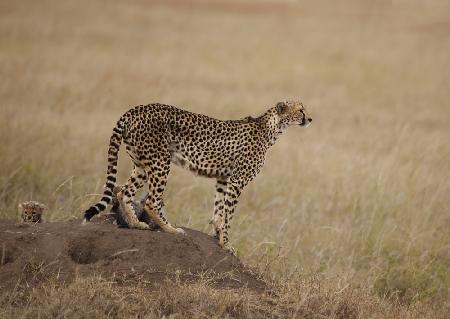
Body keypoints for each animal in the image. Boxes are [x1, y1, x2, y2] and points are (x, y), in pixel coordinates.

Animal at [82, 101, 312, 254]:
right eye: (300, 109)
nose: (309, 118)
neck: (271, 128)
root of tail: (135, 109)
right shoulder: (237, 181)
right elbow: (229, 215)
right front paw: (226, 243)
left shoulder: (223, 179)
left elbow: (219, 210)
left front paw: (218, 235)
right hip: (160, 162)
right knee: (151, 200)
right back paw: (171, 229)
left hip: (141, 164)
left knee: (122, 191)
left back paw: (136, 224)